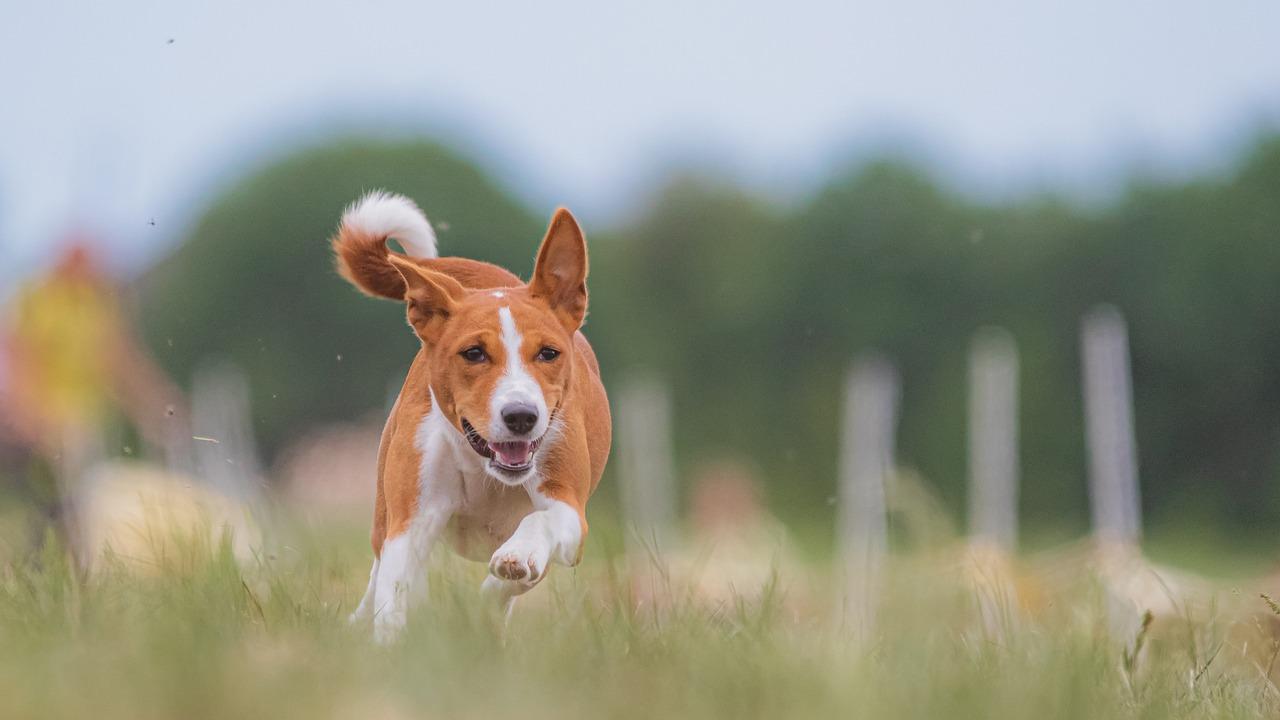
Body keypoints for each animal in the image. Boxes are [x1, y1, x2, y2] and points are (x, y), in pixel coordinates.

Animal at [330, 192, 609, 638]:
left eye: (548, 353)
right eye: (474, 353)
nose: (521, 416)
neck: (486, 470)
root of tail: (492, 279)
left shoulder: (569, 511)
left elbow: (536, 530)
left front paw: (515, 561)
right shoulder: (410, 520)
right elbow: (394, 588)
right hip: (384, 513)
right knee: (378, 574)